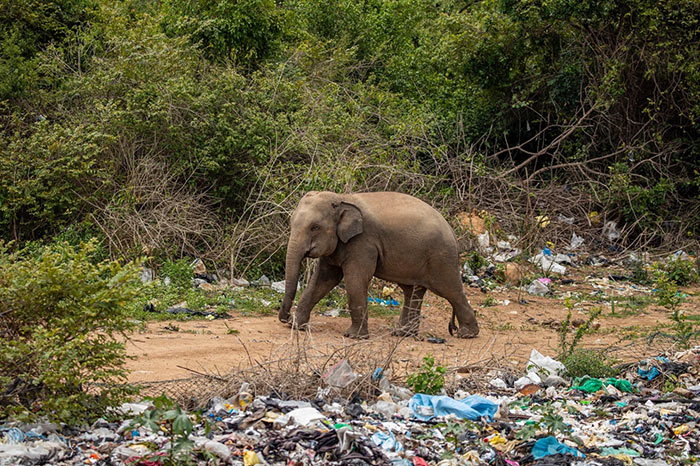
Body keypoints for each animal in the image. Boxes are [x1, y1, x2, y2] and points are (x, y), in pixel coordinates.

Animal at [278, 189, 482, 338]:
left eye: (315, 227)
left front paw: (353, 336)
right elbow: (323, 280)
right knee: (413, 291)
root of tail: (452, 231)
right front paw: (296, 326)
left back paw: (467, 334)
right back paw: (402, 334)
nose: (285, 318)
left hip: (441, 257)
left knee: (450, 290)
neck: (343, 198)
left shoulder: (363, 242)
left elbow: (355, 280)